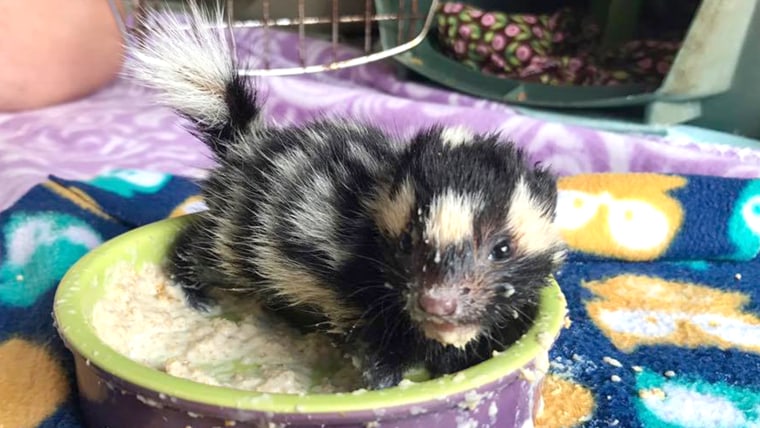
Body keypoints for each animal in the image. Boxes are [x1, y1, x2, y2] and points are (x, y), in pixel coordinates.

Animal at [127, 2, 564, 392]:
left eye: (502, 249)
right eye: (407, 244)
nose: (437, 303)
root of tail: (247, 140)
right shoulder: (368, 300)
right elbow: (381, 348)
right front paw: (383, 380)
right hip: (239, 233)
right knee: (202, 248)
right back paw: (196, 291)